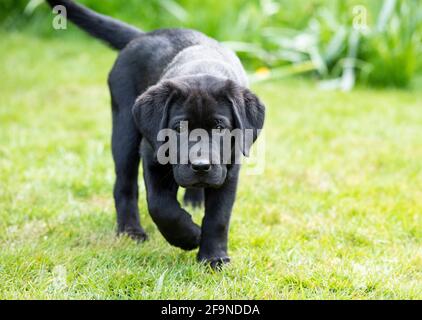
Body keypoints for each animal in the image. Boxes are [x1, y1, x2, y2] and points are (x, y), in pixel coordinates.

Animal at [46, 0, 264, 268]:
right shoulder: (152, 157)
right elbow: (162, 207)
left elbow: (219, 216)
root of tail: (142, 35)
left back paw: (194, 201)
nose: (201, 166)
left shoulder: (229, 168)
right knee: (124, 185)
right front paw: (190, 236)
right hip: (124, 131)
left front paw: (214, 257)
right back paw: (131, 231)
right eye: (179, 128)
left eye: (220, 127)